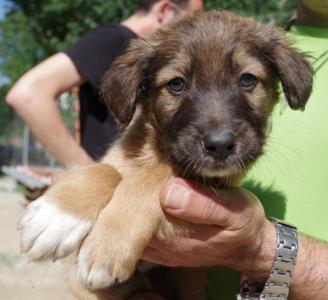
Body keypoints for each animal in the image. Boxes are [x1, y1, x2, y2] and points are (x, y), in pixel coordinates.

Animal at [18, 10, 312, 300]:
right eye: (176, 84)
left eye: (248, 79)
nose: (220, 145)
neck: (156, 153)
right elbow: (108, 170)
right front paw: (56, 216)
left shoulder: (212, 184)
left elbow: (154, 178)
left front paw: (107, 245)